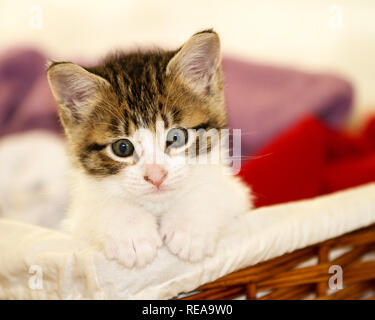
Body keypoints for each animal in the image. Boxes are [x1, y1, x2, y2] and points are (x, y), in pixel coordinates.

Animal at [47, 30, 253, 268]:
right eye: (123, 147)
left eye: (176, 137)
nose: (156, 176)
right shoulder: (77, 220)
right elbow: (99, 206)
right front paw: (131, 233)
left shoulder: (236, 193)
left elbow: (214, 190)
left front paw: (189, 229)